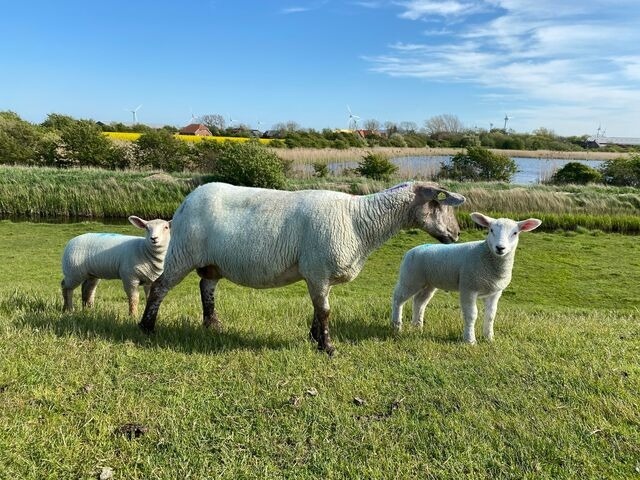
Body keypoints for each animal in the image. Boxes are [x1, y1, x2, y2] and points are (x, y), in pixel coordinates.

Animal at [139, 180, 464, 352]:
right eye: (437, 204)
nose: (457, 234)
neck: (359, 220)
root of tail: (187, 199)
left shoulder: (319, 273)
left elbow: (318, 310)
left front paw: (315, 338)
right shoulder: (318, 269)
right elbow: (325, 310)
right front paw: (328, 348)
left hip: (212, 262)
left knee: (206, 286)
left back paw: (212, 324)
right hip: (183, 252)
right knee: (160, 287)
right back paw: (146, 327)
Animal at [390, 212, 540, 344]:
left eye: (515, 233)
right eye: (491, 230)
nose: (500, 248)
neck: (485, 255)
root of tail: (411, 250)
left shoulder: (495, 292)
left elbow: (491, 316)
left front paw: (489, 338)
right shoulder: (468, 288)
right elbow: (471, 315)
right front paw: (470, 340)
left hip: (428, 283)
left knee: (419, 302)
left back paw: (417, 327)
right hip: (410, 278)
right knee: (398, 298)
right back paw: (396, 326)